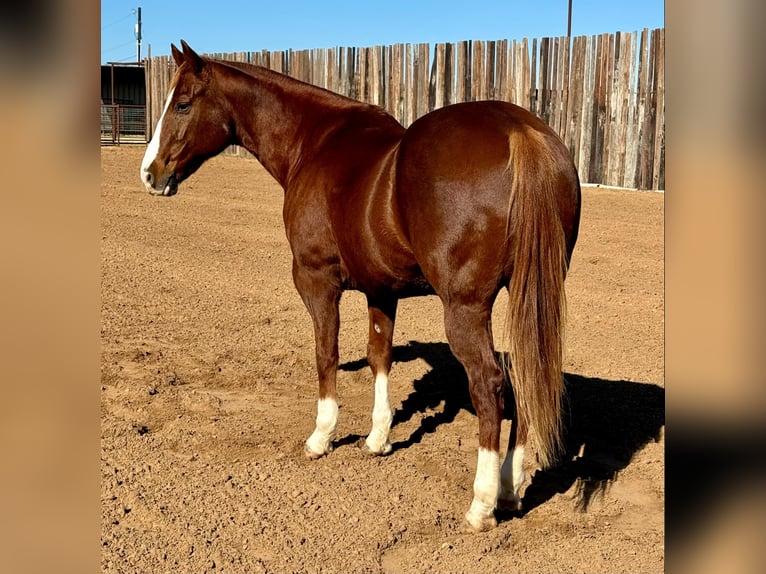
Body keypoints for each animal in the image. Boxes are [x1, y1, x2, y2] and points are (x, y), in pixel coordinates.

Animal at [141, 40, 581, 532]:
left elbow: (325, 354)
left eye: (182, 103)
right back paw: (511, 488)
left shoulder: (316, 281)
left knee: (490, 384)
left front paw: (322, 436)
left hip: (465, 308)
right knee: (525, 376)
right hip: (527, 298)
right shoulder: (381, 290)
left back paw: (482, 504)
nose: (150, 173)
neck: (314, 142)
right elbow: (379, 357)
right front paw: (378, 438)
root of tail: (518, 130)